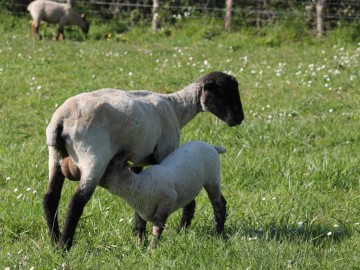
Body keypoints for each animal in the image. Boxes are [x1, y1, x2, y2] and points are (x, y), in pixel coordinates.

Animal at [43, 70, 243, 250]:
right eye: (225, 92)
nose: (239, 119)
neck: (176, 108)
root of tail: (61, 119)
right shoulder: (165, 152)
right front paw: (181, 229)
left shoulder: (137, 160)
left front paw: (139, 234)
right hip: (93, 156)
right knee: (76, 202)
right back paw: (64, 246)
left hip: (55, 155)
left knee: (50, 198)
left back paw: (54, 240)